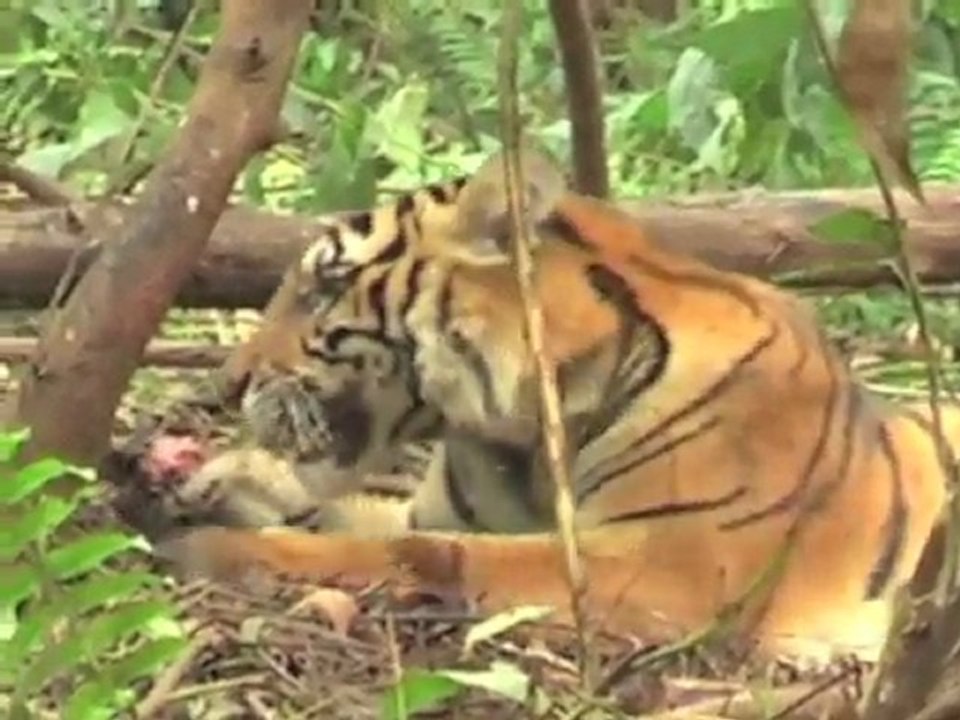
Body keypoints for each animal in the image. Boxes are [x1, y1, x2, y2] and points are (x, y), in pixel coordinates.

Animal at [155, 147, 960, 660]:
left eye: (324, 288)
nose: (225, 385)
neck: (524, 438)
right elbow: (364, 515)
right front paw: (227, 485)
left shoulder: (675, 564)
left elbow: (420, 554)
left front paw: (221, 547)